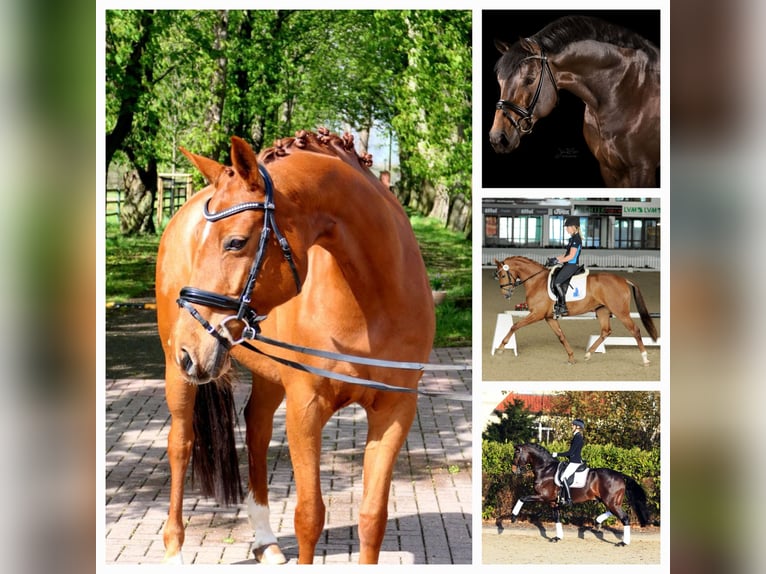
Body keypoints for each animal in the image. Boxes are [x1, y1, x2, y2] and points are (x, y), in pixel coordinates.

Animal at [154, 129, 435, 564]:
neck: (371, 303)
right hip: (177, 373)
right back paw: (174, 550)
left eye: (235, 242)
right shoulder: (306, 406)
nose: (190, 346)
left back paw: (265, 541)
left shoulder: (395, 410)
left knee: (256, 428)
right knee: (181, 444)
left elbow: (373, 517)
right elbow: (309, 516)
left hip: (265, 374)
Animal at [493, 256, 658, 365]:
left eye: (503, 274)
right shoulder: (549, 317)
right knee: (606, 331)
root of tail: (623, 279)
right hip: (602, 311)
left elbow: (514, 326)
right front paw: (571, 357)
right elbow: (561, 336)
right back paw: (588, 354)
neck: (537, 281)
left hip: (620, 312)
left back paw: (645, 358)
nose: (505, 294)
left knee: (635, 330)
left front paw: (501, 348)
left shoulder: (536, 314)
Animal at [508, 443, 650, 545]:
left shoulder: (543, 496)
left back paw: (623, 543)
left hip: (611, 501)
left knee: (625, 518)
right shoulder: (553, 502)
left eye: (516, 455)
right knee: (613, 511)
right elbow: (557, 518)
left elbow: (522, 498)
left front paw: (513, 517)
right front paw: (558, 537)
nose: (514, 471)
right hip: (609, 500)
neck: (545, 469)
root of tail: (620, 475)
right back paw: (598, 521)